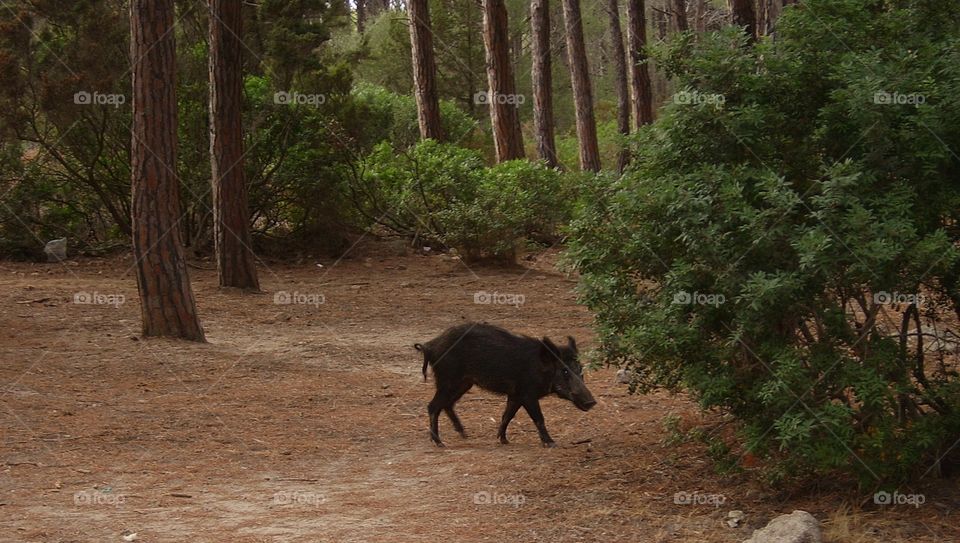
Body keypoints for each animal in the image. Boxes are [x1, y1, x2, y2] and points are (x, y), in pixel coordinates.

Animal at [414, 323, 596, 448]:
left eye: (580, 370)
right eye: (564, 371)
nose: (592, 402)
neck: (540, 369)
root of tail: (430, 346)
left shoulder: (515, 395)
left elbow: (507, 415)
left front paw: (503, 440)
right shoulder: (527, 394)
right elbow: (538, 418)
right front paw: (552, 443)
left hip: (464, 384)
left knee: (447, 404)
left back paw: (464, 435)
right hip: (448, 380)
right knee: (433, 406)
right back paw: (440, 443)